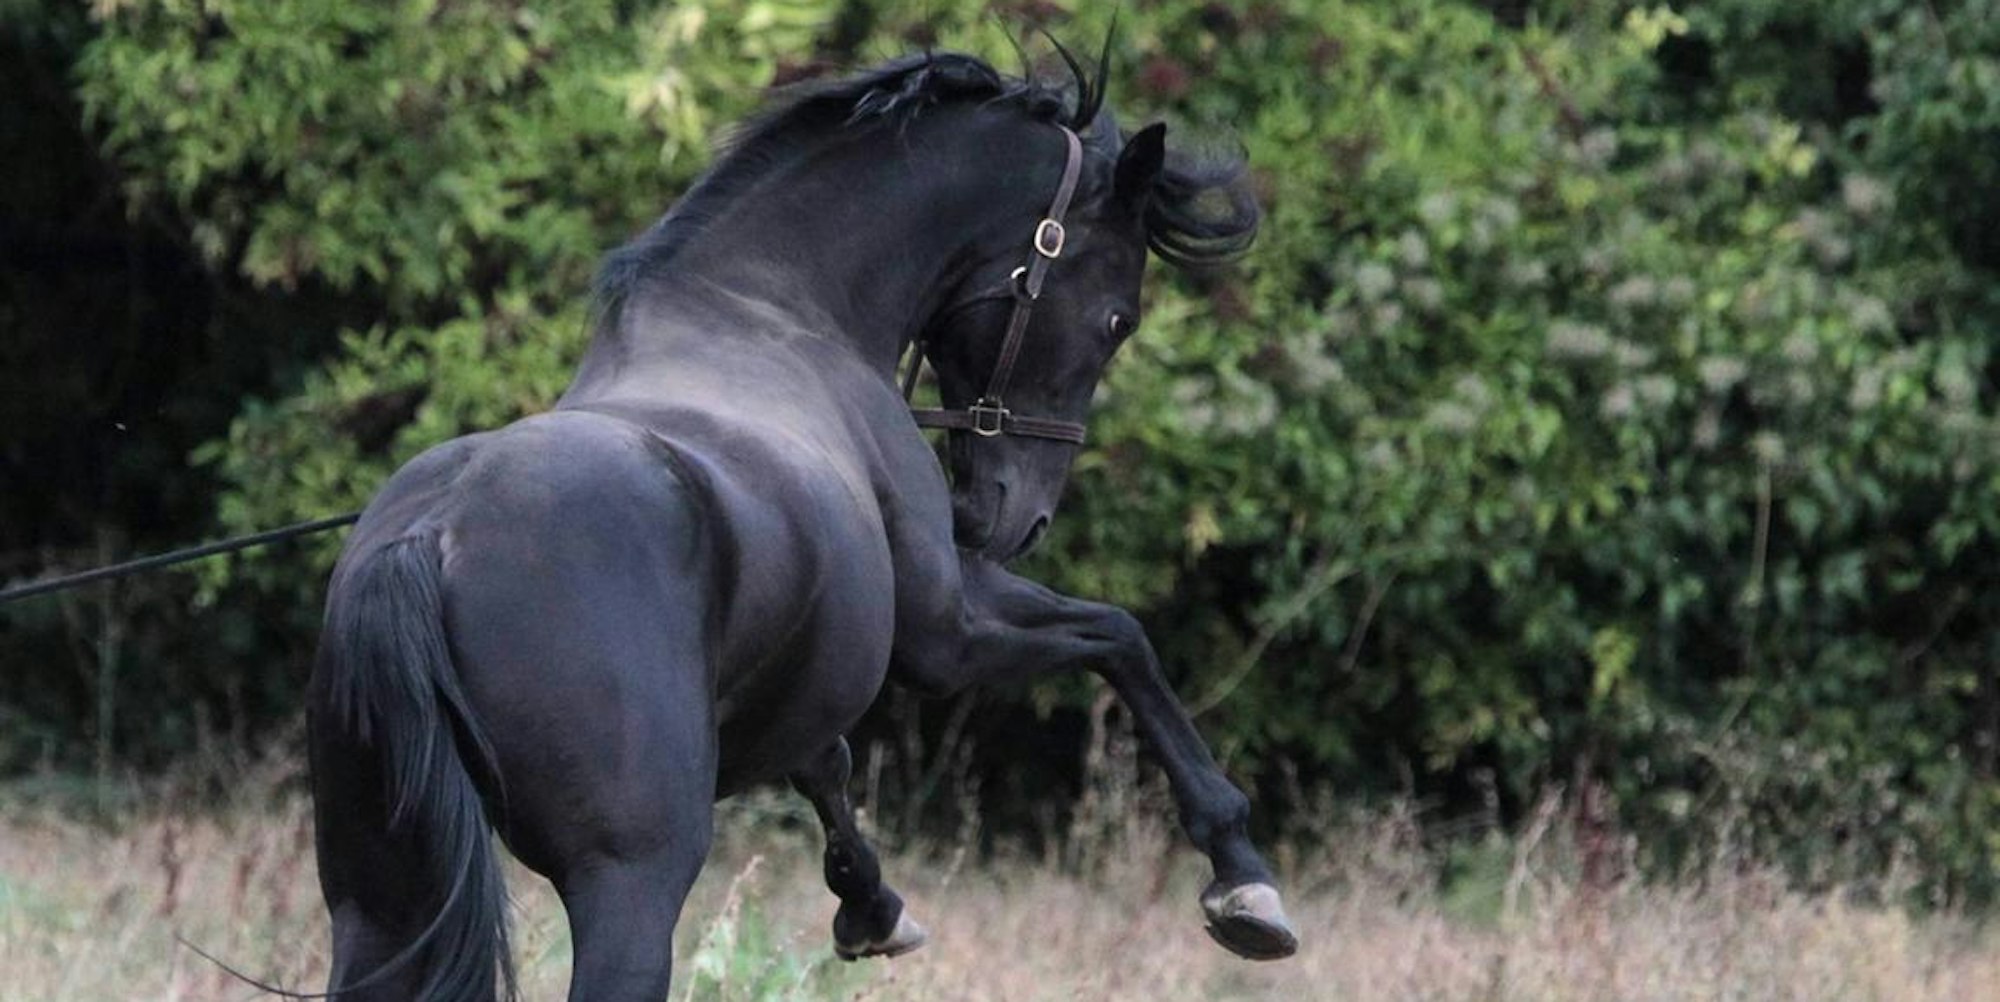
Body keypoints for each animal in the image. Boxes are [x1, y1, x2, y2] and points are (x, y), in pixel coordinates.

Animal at [307, 49, 1296, 1001]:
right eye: (1118, 319)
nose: (1016, 517)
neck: (775, 308)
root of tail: (428, 544)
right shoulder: (945, 633)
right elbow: (1119, 637)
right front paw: (1241, 877)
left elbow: (829, 761)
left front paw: (871, 907)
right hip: (628, 886)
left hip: (381, 906)